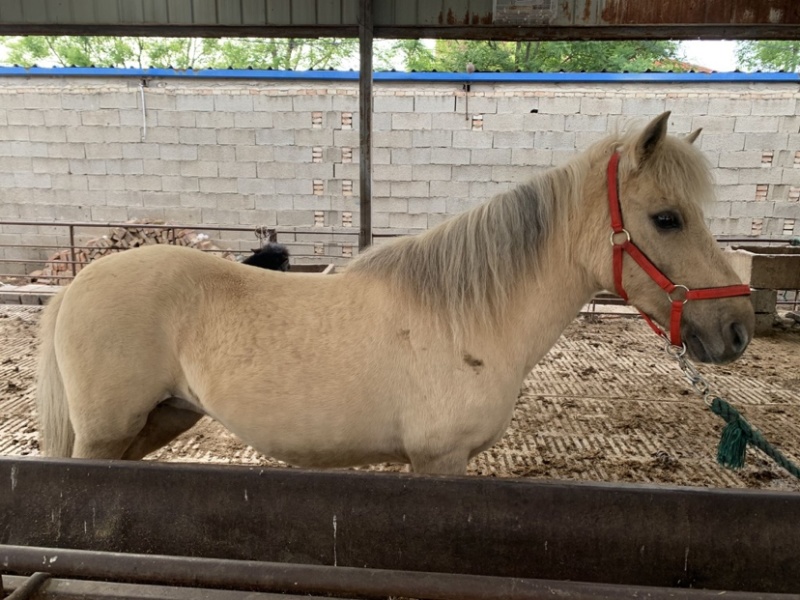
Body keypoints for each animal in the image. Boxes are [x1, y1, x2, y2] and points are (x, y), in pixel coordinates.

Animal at [35, 113, 754, 474]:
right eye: (667, 218)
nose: (737, 327)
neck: (469, 317)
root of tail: (77, 286)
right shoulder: (439, 461)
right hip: (105, 436)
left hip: (156, 421)